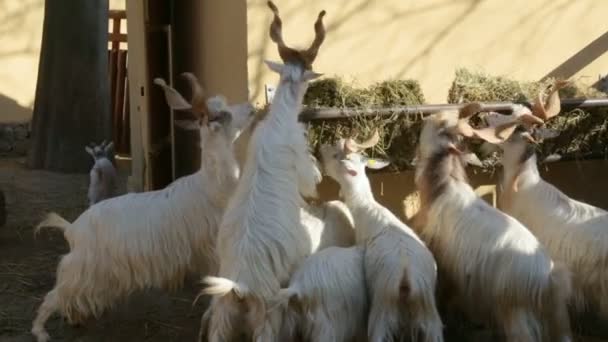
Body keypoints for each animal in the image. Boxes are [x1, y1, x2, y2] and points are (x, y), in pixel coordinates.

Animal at [31, 73, 254, 342]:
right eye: (224, 115)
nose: (252, 108)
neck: (213, 184)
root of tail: (72, 228)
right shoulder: (215, 251)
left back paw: (75, 319)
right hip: (82, 267)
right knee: (54, 295)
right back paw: (40, 331)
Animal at [318, 133, 442, 342]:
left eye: (335, 155)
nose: (320, 149)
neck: (368, 210)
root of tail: (407, 276)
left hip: (382, 311)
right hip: (429, 315)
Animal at [414, 104, 576, 342]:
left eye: (443, 125)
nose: (425, 119)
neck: (445, 186)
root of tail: (549, 279)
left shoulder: (444, 264)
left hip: (516, 314)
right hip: (554, 322)